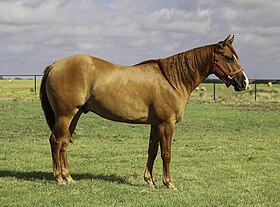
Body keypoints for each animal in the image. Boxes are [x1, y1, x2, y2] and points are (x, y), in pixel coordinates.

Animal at [40, 35, 249, 189]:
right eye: (229, 58)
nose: (244, 82)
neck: (172, 80)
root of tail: (54, 64)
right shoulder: (167, 124)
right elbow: (166, 153)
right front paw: (169, 183)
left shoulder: (156, 124)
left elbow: (152, 151)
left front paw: (150, 181)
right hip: (66, 115)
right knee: (56, 141)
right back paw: (59, 178)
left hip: (73, 116)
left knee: (64, 142)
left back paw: (68, 177)